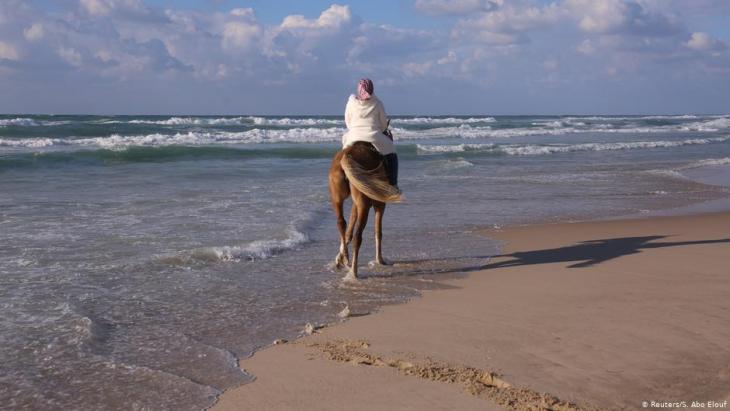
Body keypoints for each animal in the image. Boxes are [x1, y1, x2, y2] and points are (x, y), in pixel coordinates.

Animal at [328, 142, 400, 280]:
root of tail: (348, 154)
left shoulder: (355, 205)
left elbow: (348, 231)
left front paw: (340, 258)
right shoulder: (380, 205)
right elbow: (378, 232)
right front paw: (380, 260)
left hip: (338, 198)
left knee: (341, 223)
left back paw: (347, 259)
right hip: (364, 205)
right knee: (358, 237)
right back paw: (354, 272)